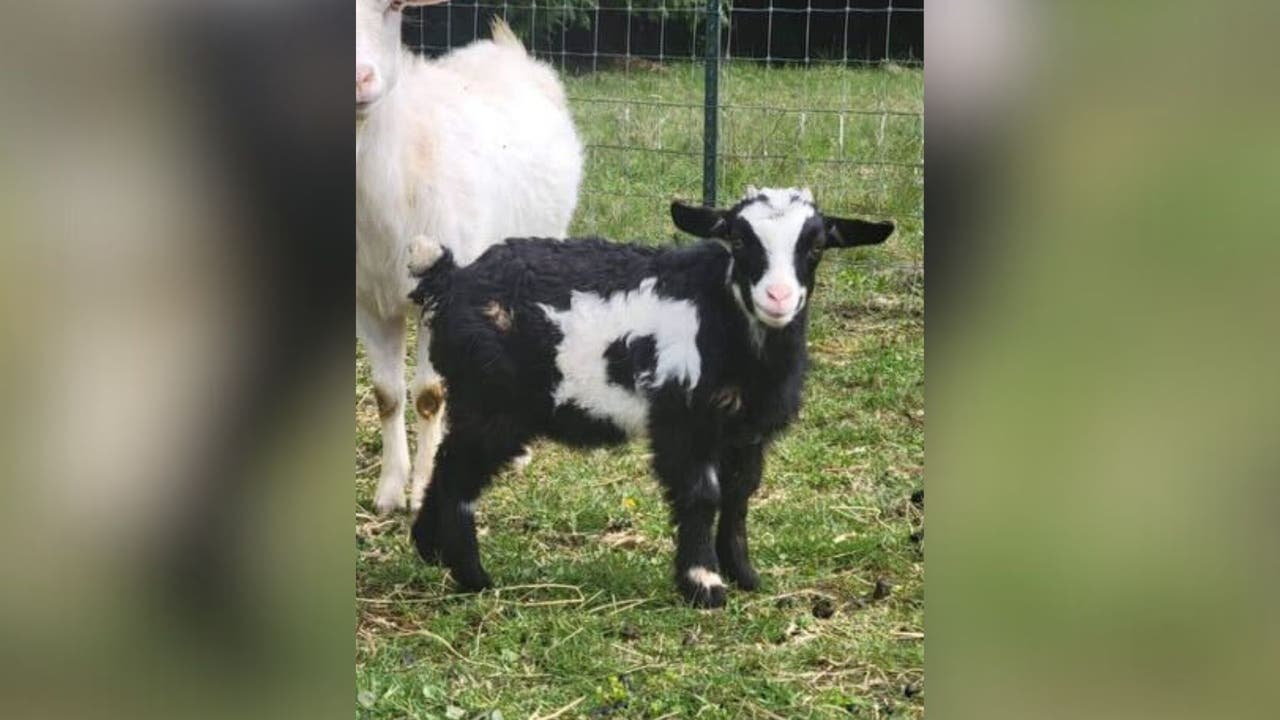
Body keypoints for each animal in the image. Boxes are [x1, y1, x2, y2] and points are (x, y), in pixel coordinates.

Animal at [356, 0, 583, 514]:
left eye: (391, 7)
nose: (358, 78)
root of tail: (506, 50)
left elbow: (428, 394)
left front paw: (422, 489)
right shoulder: (366, 300)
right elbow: (386, 395)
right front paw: (389, 491)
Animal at [405, 187, 894, 608]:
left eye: (816, 246)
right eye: (738, 239)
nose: (778, 297)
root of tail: (452, 281)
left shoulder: (746, 430)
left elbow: (739, 497)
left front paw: (745, 575)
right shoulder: (683, 421)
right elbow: (702, 495)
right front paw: (704, 583)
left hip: (478, 401)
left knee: (446, 463)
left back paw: (429, 548)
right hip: (493, 402)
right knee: (461, 478)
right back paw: (473, 576)